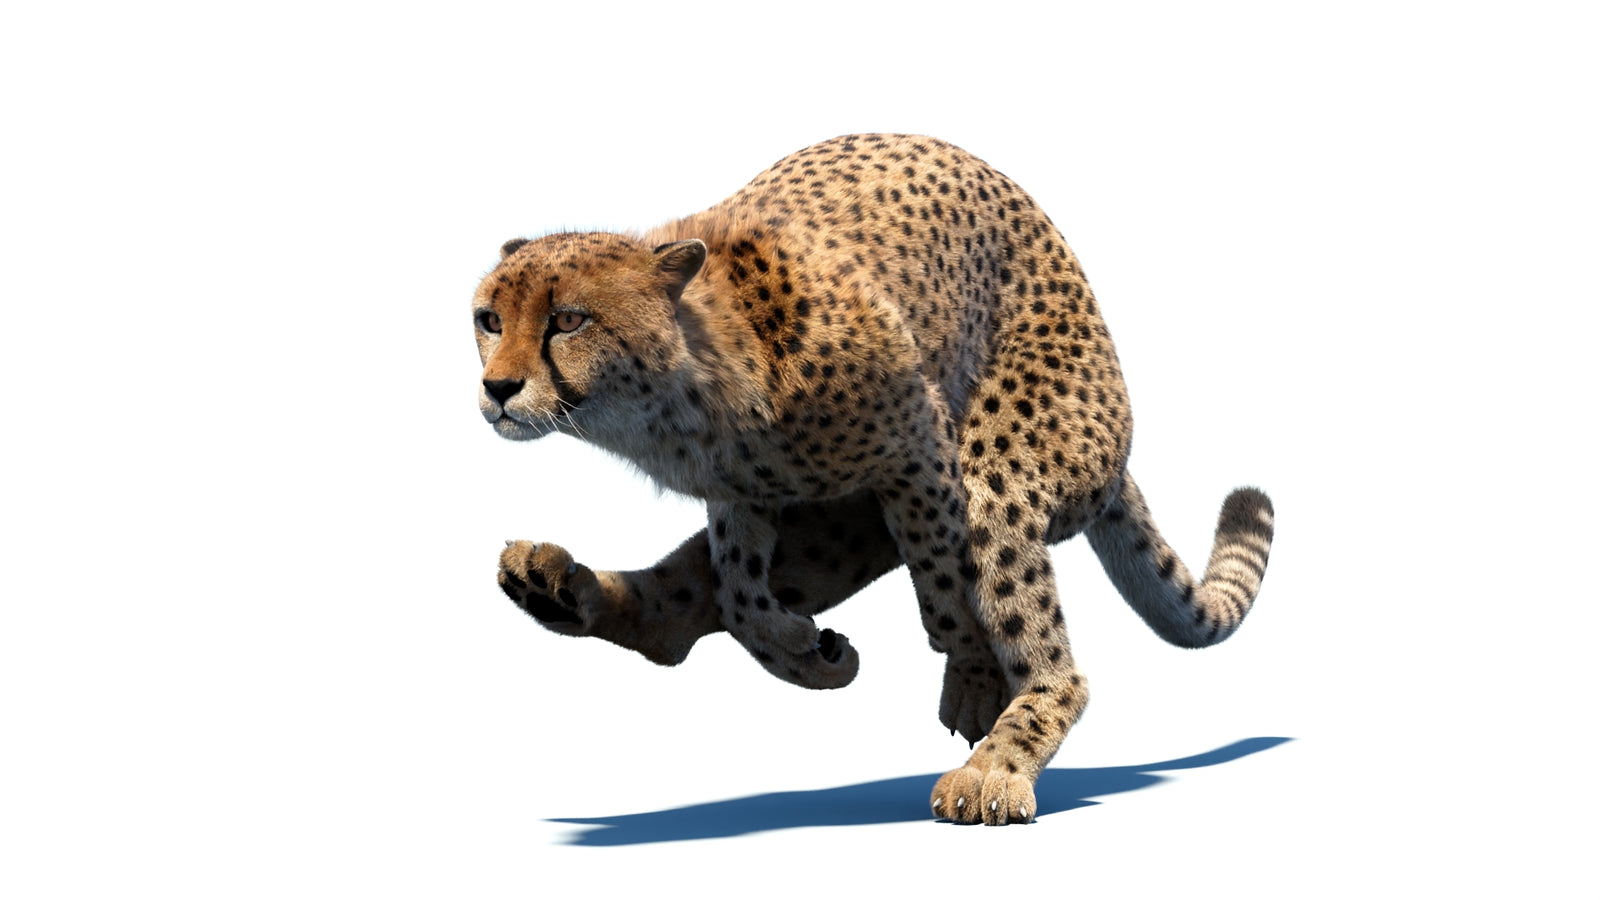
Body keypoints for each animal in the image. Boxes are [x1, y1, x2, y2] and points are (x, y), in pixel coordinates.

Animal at [471, 134, 1275, 825]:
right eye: (487, 319)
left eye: (568, 320)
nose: (498, 388)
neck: (681, 394)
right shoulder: (745, 492)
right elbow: (737, 594)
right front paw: (805, 652)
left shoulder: (921, 449)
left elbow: (947, 592)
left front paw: (973, 679)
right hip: (839, 529)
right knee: (678, 612)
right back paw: (550, 584)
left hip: (1002, 461)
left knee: (1048, 650)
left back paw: (997, 768)